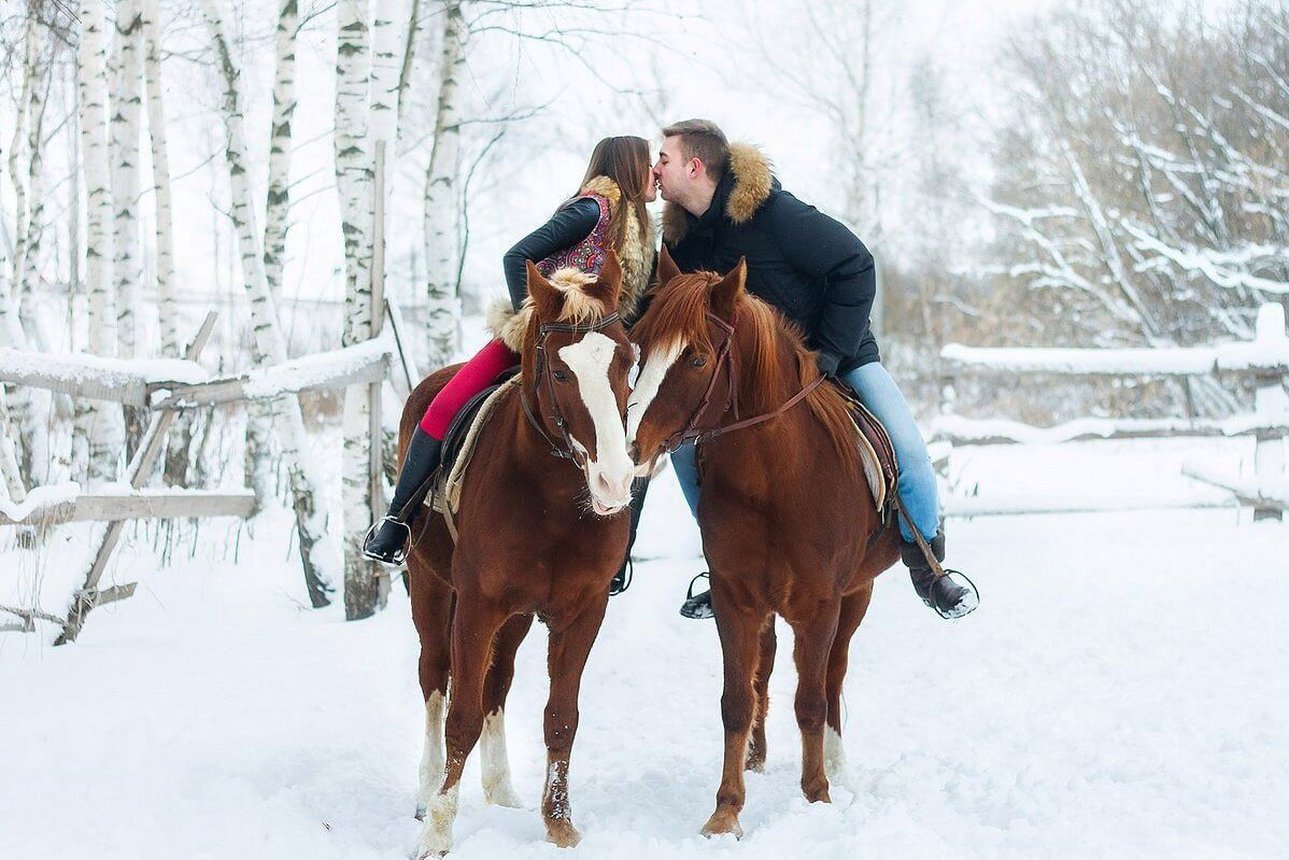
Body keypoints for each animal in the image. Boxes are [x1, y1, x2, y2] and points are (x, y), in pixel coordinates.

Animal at [394, 252, 631, 856]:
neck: (551, 499)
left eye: (626, 360)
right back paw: (424, 788)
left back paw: (501, 789)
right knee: (434, 677)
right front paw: (437, 830)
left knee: (496, 684)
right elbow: (461, 716)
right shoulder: (477, 607)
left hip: (518, 616)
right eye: (561, 372)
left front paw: (560, 824)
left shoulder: (582, 612)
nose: (615, 481)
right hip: (431, 588)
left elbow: (560, 717)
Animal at [626, 248, 907, 840]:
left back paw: (836, 763)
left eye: (696, 358)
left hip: (857, 595)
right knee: (766, 669)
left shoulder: (821, 604)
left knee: (833, 675)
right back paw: (756, 756)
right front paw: (726, 809)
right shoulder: (736, 598)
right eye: (641, 346)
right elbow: (737, 698)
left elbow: (812, 700)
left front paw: (817, 795)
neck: (774, 482)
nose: (629, 444)